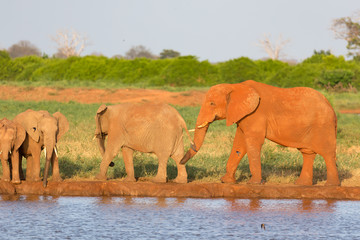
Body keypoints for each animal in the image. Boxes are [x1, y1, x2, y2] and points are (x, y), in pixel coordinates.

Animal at [180, 80, 340, 186]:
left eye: (212, 103)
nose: (180, 161)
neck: (236, 86)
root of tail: (331, 106)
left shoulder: (256, 114)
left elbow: (252, 143)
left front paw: (253, 183)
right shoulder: (243, 115)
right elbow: (239, 143)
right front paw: (226, 181)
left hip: (323, 125)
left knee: (327, 153)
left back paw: (331, 185)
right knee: (308, 153)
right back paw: (301, 184)